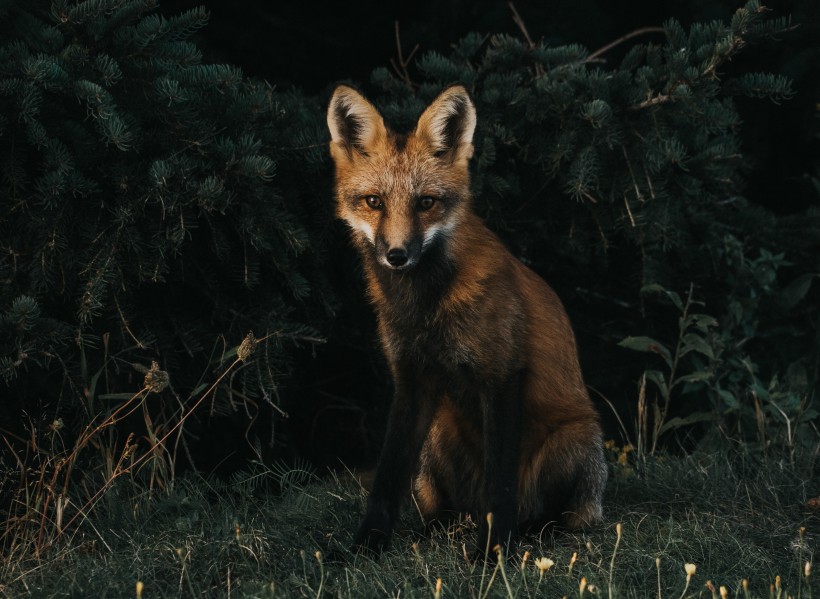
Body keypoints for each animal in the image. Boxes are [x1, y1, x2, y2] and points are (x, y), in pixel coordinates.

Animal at [326, 84, 608, 556]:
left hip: (576, 441)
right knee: (444, 508)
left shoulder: (502, 374)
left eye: (426, 203)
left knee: (557, 516)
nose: (397, 255)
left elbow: (500, 483)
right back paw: (438, 528)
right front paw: (367, 545)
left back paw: (530, 531)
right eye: (373, 202)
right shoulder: (411, 378)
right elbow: (387, 476)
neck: (425, 308)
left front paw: (494, 552)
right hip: (438, 437)